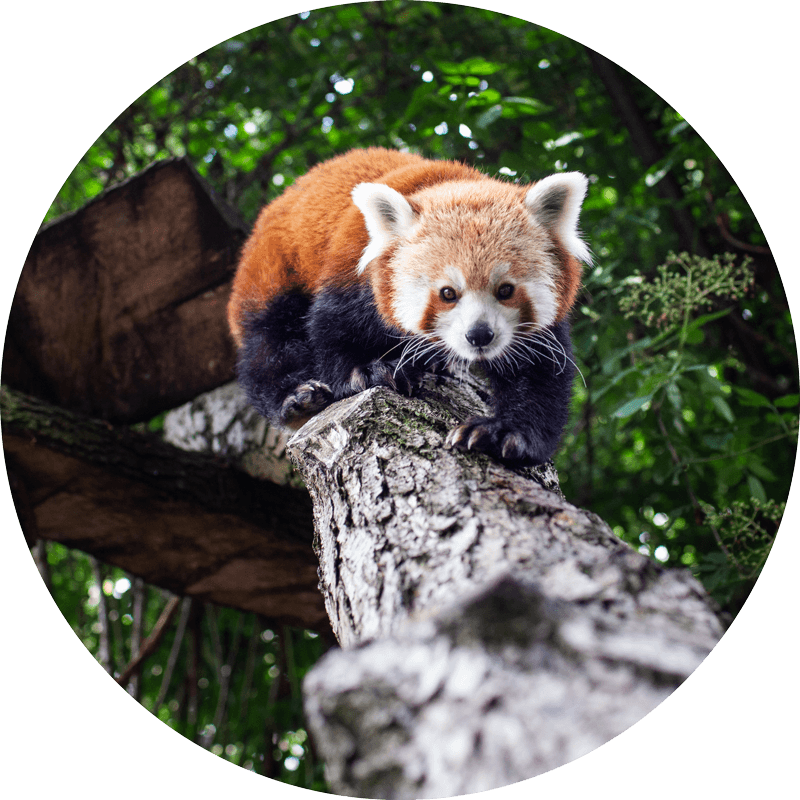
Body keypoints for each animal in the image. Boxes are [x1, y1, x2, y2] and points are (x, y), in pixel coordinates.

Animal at [228, 147, 592, 466]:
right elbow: (332, 328)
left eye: (505, 290)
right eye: (447, 293)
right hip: (271, 269)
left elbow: (538, 373)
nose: (479, 335)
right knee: (269, 340)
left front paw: (505, 434)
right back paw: (295, 397)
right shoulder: (352, 268)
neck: (451, 183)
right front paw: (366, 371)